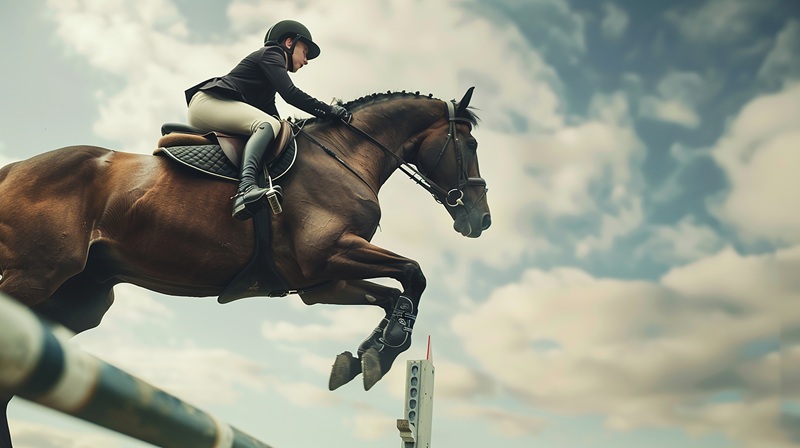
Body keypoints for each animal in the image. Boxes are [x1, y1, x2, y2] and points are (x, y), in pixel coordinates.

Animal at [0, 88, 490, 445]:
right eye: (469, 143)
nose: (480, 219)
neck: (347, 157)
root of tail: (14, 168)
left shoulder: (321, 282)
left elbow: (393, 293)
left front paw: (368, 356)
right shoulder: (328, 253)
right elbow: (414, 273)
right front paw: (386, 348)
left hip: (79, 301)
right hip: (38, 274)